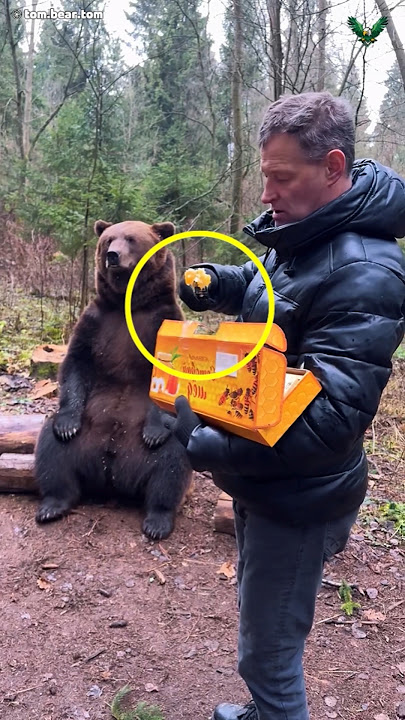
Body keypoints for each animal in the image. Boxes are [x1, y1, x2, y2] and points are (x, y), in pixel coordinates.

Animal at [34, 219, 192, 540]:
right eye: (108, 239)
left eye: (131, 239)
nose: (113, 256)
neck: (127, 304)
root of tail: (111, 474)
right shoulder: (96, 321)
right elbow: (76, 362)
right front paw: (67, 425)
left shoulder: (163, 320)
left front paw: (153, 431)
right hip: (85, 437)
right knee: (52, 451)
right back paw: (53, 504)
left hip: (151, 454)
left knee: (171, 466)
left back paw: (158, 520)